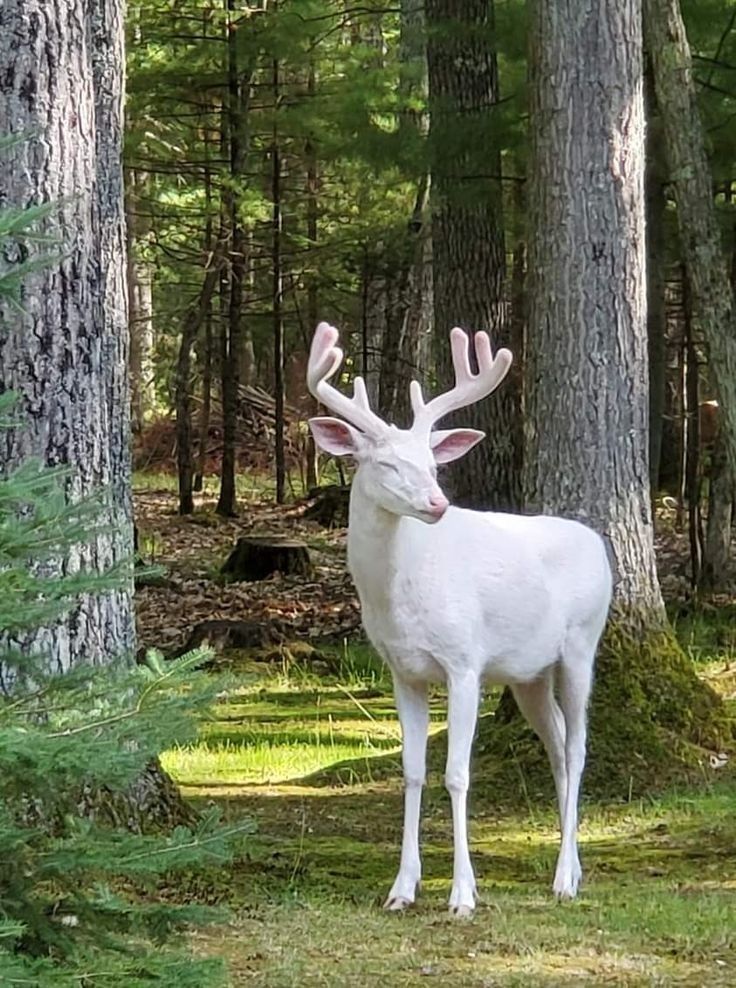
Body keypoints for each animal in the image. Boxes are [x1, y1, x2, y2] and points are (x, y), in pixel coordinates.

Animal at [308, 324, 612, 920]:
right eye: (385, 464)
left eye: (433, 464)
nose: (437, 502)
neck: (397, 596)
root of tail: (599, 545)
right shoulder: (402, 671)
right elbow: (412, 771)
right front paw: (402, 889)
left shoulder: (464, 661)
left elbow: (456, 774)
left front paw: (462, 894)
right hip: (528, 674)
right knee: (557, 745)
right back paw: (573, 868)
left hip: (581, 645)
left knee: (579, 746)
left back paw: (564, 878)